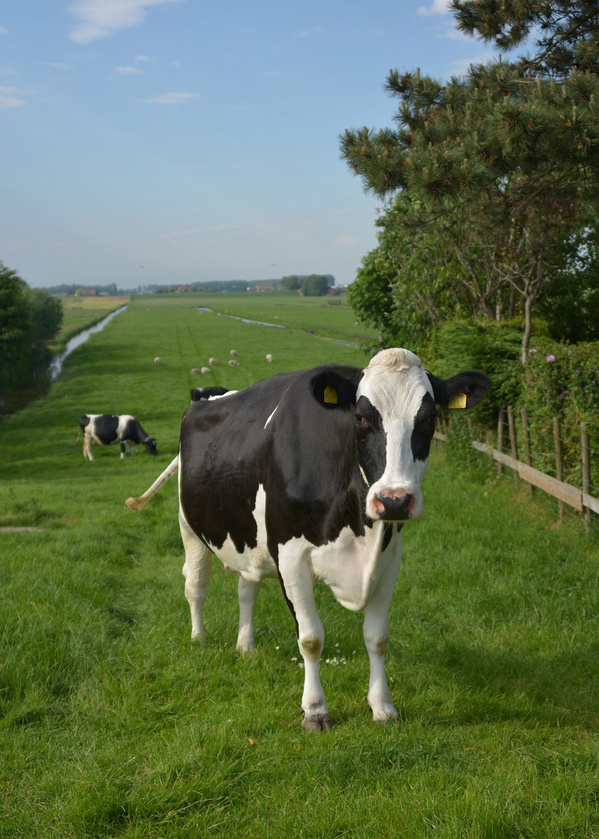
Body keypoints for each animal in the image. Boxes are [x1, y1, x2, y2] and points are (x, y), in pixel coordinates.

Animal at [126, 348, 490, 730]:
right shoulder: (290, 557)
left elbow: (377, 638)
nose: (394, 499)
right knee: (195, 584)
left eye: (429, 417)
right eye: (360, 417)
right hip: (190, 528)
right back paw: (199, 638)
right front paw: (315, 709)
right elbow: (312, 637)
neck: (359, 530)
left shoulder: (389, 559)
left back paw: (245, 645)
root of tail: (204, 398)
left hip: (249, 538)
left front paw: (383, 706)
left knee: (246, 588)